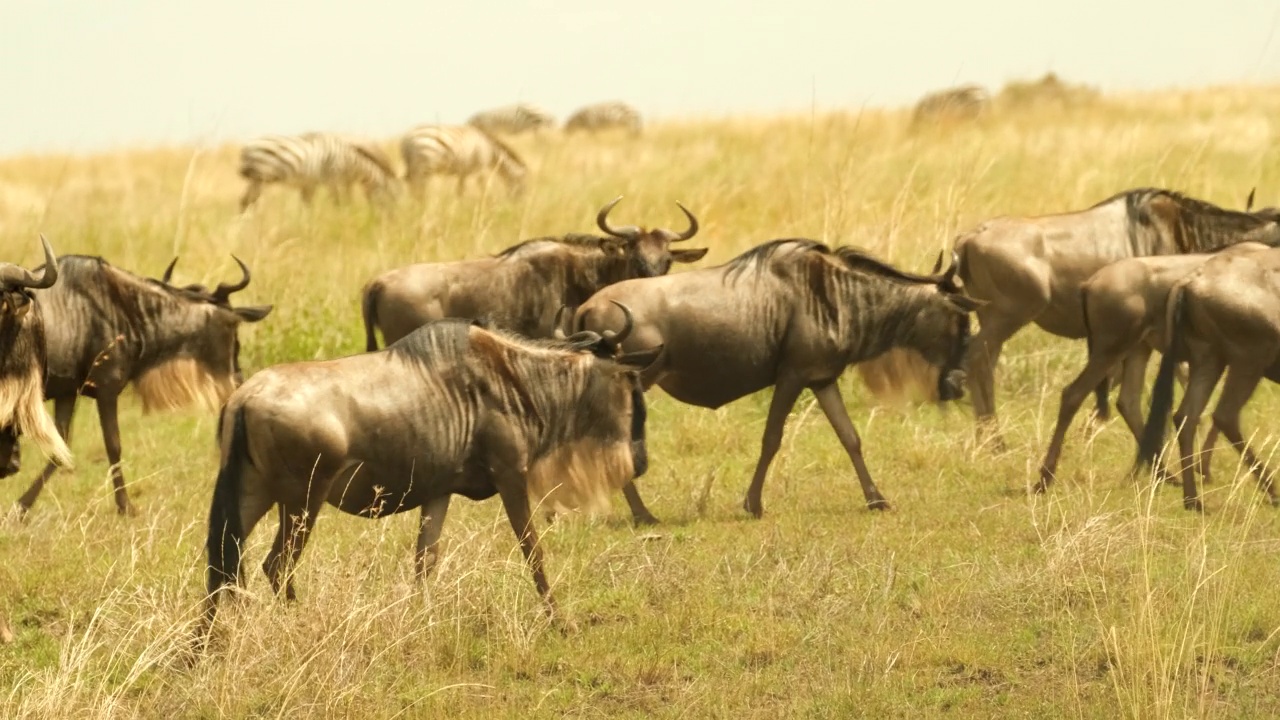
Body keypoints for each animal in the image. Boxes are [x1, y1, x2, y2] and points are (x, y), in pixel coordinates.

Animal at [238, 131, 396, 210]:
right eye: (391, 198)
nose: (392, 220)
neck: (349, 161)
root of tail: (247, 147)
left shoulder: (311, 184)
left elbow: (308, 207)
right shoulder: (333, 179)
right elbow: (338, 203)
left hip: (256, 180)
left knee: (246, 201)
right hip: (260, 178)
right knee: (248, 202)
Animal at [394, 124, 524, 194]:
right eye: (524, 186)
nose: (518, 205)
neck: (489, 149)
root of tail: (406, 140)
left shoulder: (463, 172)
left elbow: (460, 191)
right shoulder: (480, 168)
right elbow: (484, 188)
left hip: (413, 168)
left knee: (413, 187)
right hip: (424, 166)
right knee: (418, 188)